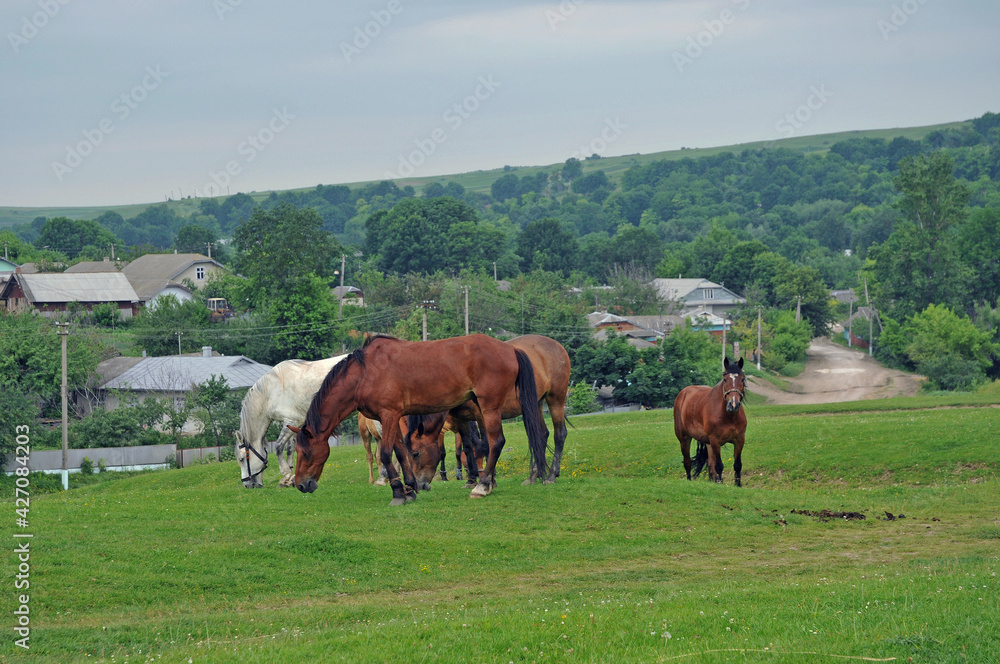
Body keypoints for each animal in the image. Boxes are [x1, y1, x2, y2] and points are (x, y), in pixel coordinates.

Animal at [234, 354, 347, 488]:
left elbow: (278, 447)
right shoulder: (295, 424)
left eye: (241, 458)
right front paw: (290, 477)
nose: (246, 485)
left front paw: (286, 474)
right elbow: (290, 448)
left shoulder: (291, 421)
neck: (270, 393)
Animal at [291, 333, 549, 506]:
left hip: (490, 408)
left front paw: (397, 493)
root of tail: (510, 350)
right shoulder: (391, 419)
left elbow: (387, 454)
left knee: (496, 443)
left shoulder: (389, 414)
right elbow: (399, 452)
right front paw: (410, 490)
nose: (300, 485)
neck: (365, 374)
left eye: (308, 453)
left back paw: (482, 486)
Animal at [405, 334, 571, 486]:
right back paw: (534, 476)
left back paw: (551, 475)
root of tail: (557, 345)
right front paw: (472, 479)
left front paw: (490, 478)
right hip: (535, 404)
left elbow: (486, 444)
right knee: (540, 435)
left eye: (415, 453)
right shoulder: (462, 420)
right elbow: (467, 447)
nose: (418, 483)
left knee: (559, 434)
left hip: (556, 399)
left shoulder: (481, 414)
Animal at [673, 356, 748, 486]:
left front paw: (737, 485)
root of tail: (682, 394)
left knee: (710, 465)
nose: (733, 404)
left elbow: (737, 465)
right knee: (688, 462)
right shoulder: (715, 441)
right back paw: (689, 480)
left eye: (742, 379)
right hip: (684, 438)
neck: (728, 416)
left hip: (708, 443)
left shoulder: (739, 440)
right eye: (725, 379)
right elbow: (719, 466)